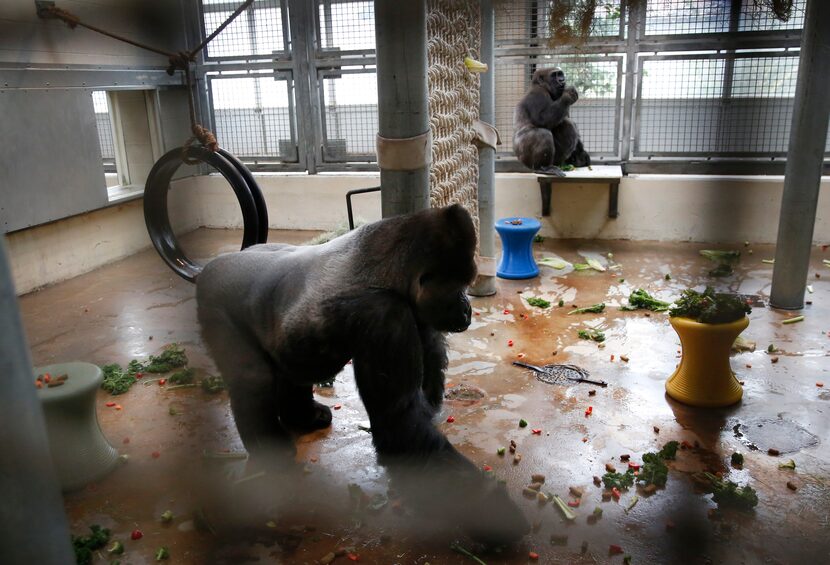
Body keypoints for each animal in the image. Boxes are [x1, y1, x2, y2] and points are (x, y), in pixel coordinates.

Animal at [198, 204, 528, 540]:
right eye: (459, 289)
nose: (467, 310)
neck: (386, 267)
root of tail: (212, 266)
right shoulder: (387, 315)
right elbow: (400, 429)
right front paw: (490, 509)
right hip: (214, 302)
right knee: (253, 379)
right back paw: (271, 451)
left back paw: (302, 417)